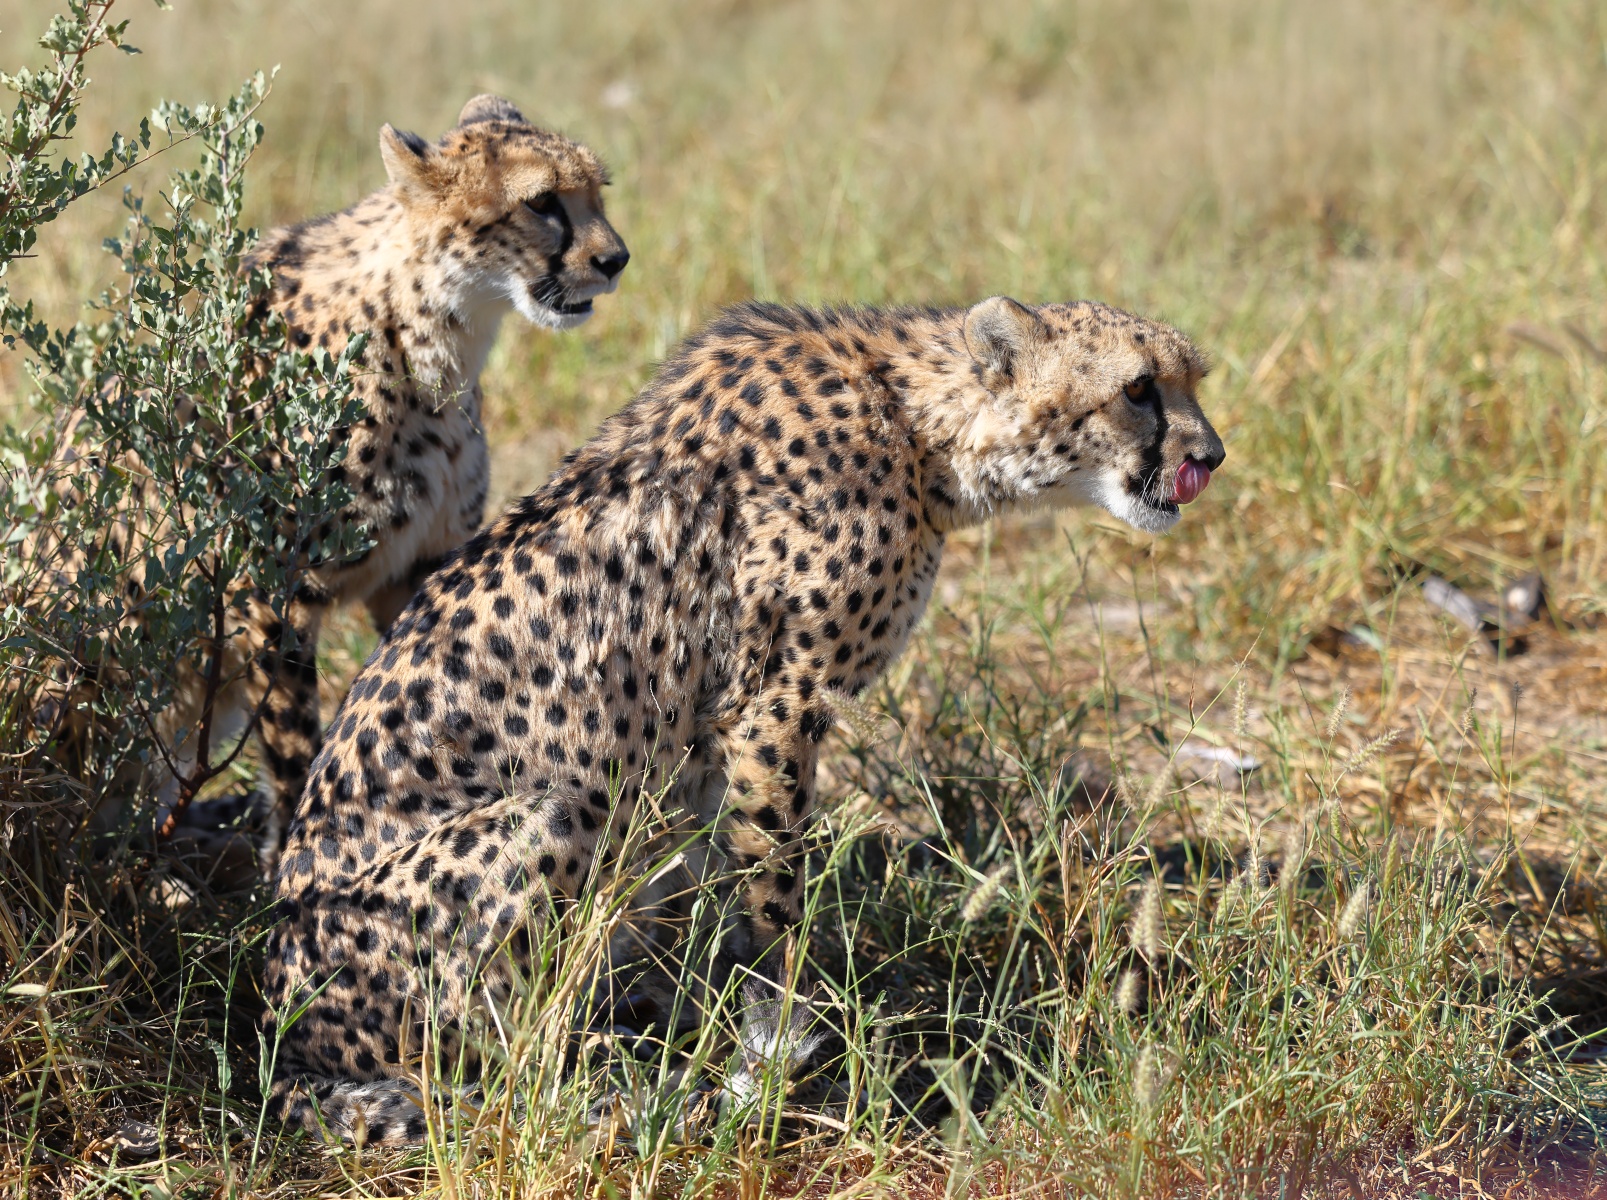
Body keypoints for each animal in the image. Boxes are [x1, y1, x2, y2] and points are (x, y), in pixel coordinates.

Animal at [24, 94, 627, 860]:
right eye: (542, 202)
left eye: (597, 191)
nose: (616, 259)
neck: (428, 330)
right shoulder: (271, 594)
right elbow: (293, 747)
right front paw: (296, 850)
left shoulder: (418, 565)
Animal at [260, 294, 1225, 1143]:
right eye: (1139, 387)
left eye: (1192, 379)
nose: (1211, 455)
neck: (920, 427)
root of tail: (281, 1036)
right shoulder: (770, 709)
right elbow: (773, 893)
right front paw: (784, 1030)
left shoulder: (696, 752)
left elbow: (703, 889)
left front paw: (709, 1010)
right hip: (543, 822)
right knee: (514, 1060)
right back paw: (618, 1086)